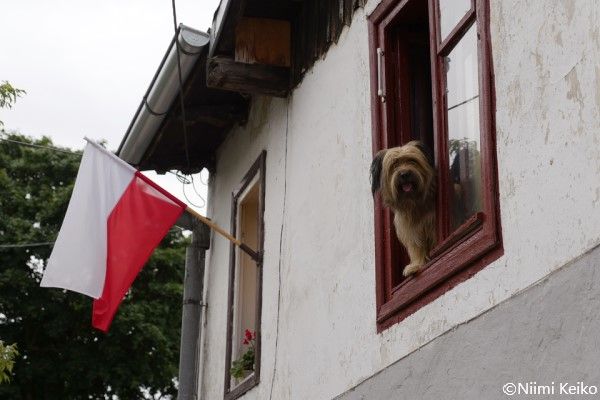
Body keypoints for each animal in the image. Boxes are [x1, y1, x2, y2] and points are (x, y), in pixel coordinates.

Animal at [370, 141, 436, 277]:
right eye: (394, 164)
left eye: (412, 160)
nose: (404, 174)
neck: (414, 203)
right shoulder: (411, 229)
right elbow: (416, 246)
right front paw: (416, 265)